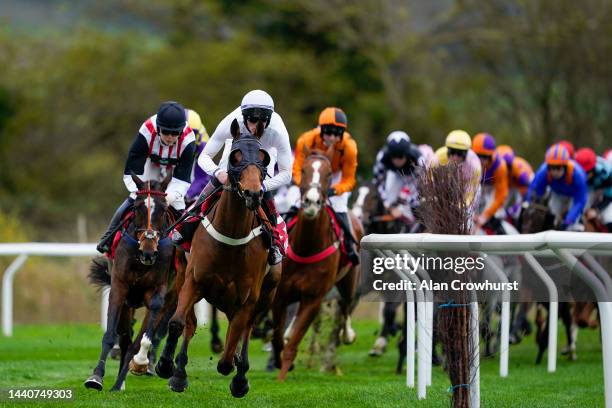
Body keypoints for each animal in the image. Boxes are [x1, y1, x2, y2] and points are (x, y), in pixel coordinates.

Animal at [85, 174, 182, 390]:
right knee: (125, 337)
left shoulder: (157, 292)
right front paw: (96, 377)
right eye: (138, 207)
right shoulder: (120, 288)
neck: (140, 260)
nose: (148, 252)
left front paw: (138, 364)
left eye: (163, 209)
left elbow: (143, 339)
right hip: (128, 302)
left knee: (147, 335)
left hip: (173, 295)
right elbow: (111, 335)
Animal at [154, 118, 278, 398]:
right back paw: (179, 371)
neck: (231, 235)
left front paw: (236, 370)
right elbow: (177, 324)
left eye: (263, 158)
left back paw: (240, 375)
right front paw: (167, 367)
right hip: (183, 275)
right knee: (189, 324)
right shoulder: (194, 280)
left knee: (245, 330)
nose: (253, 194)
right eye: (235, 156)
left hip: (266, 292)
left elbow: (231, 350)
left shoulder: (248, 298)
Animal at [272, 148, 364, 380]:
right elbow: (277, 337)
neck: (307, 247)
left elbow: (293, 344)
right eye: (304, 169)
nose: (312, 201)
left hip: (349, 283)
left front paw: (282, 377)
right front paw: (279, 361)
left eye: (329, 174)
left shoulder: (313, 299)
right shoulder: (281, 295)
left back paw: (348, 334)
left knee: (346, 306)